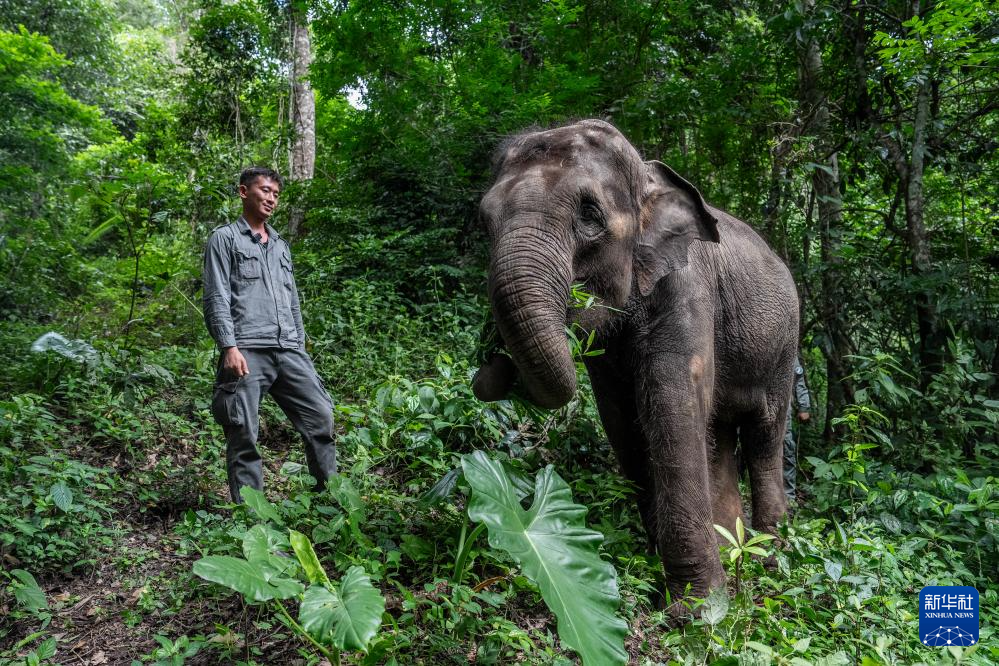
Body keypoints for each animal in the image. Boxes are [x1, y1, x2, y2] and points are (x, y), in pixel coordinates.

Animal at [472, 118, 800, 608]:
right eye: (485, 221)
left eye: (590, 216)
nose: (492, 358)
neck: (647, 176)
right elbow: (623, 420)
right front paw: (669, 575)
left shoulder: (688, 288)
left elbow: (671, 408)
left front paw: (699, 610)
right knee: (721, 435)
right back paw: (735, 550)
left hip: (785, 348)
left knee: (764, 436)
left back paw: (770, 554)